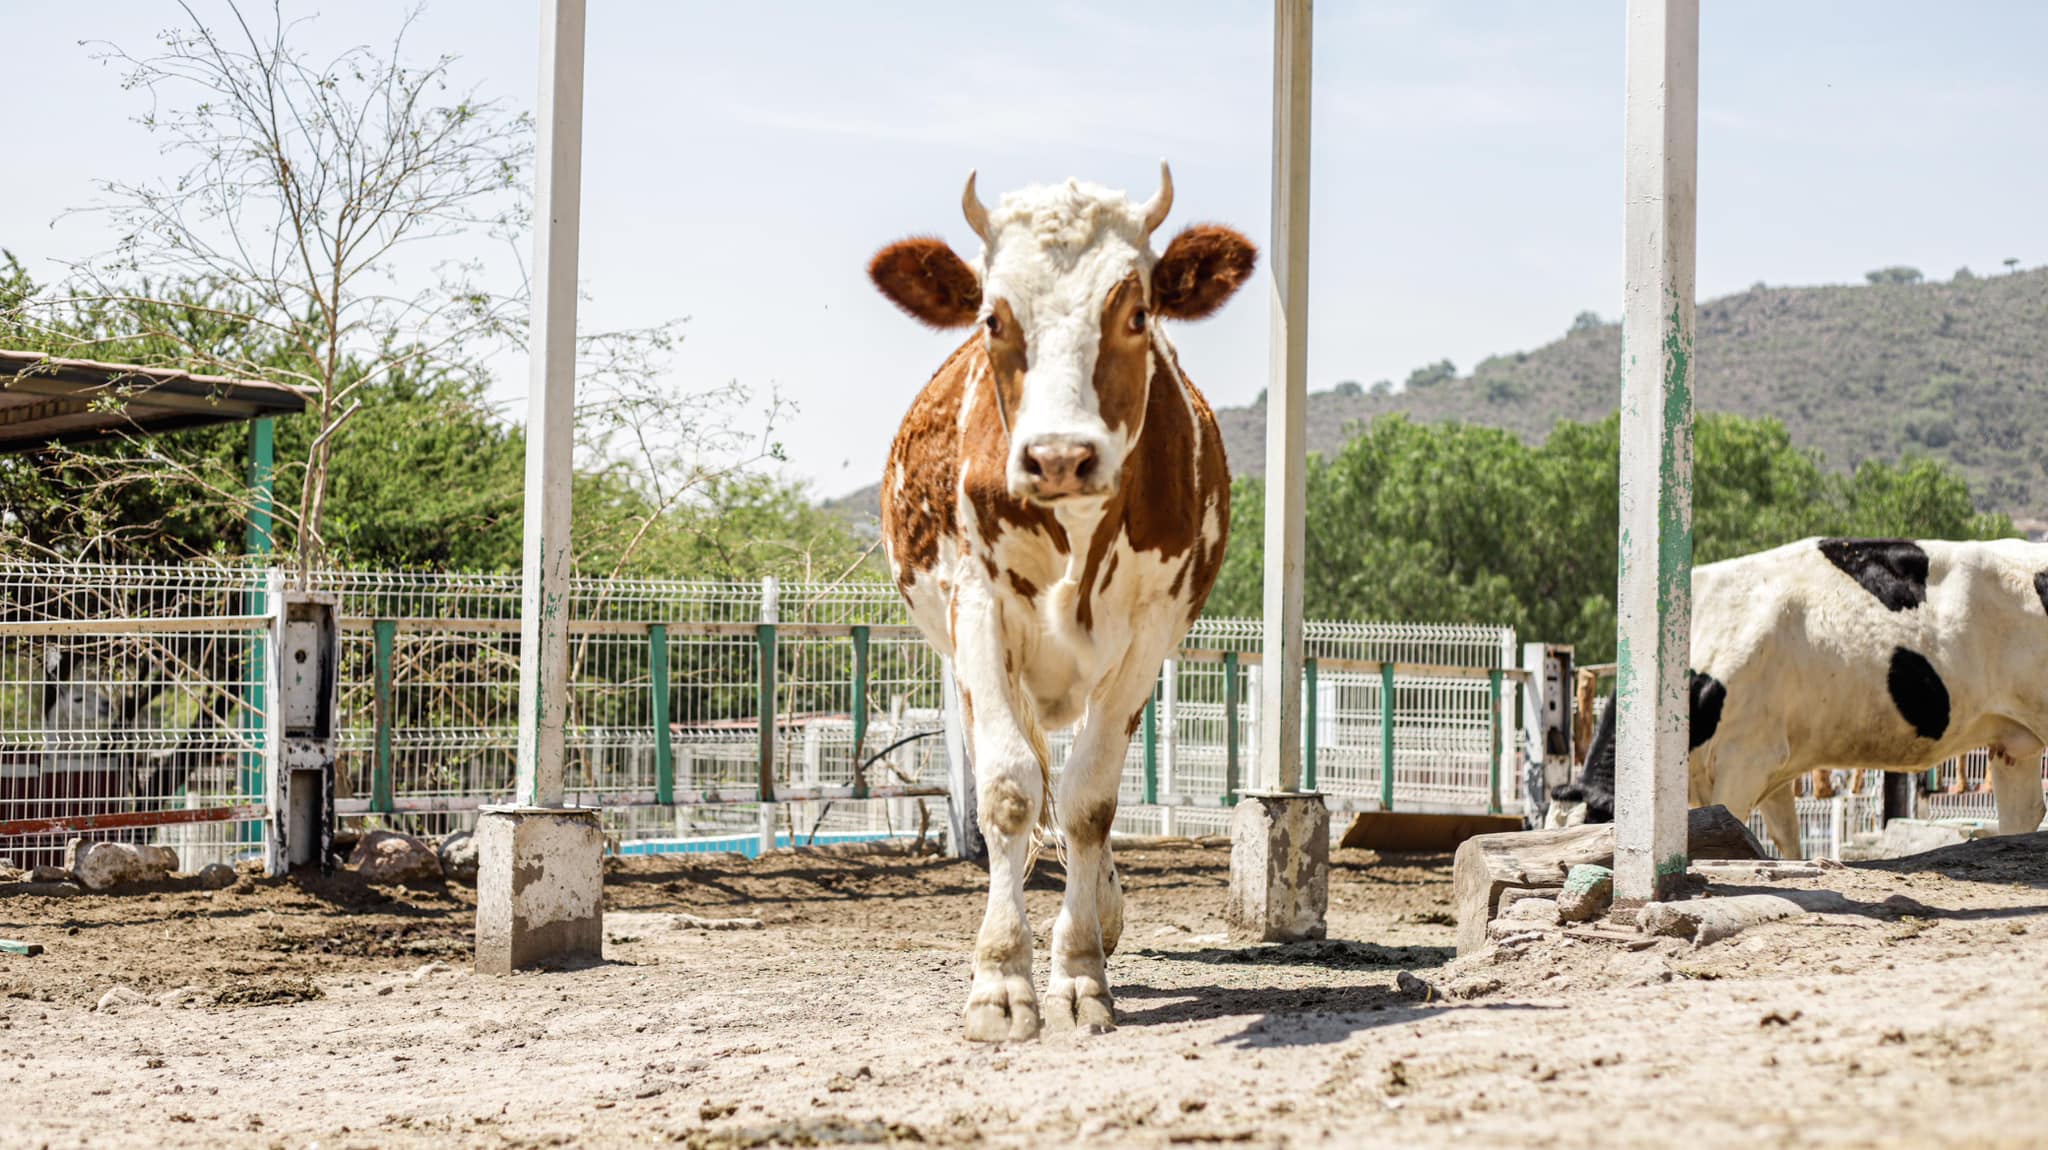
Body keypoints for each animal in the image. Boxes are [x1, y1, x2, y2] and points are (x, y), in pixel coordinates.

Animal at [864, 163, 1245, 1039]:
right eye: (993, 316)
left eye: (1136, 312)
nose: (1060, 456)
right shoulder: (978, 611)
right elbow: (1009, 792)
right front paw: (1002, 978)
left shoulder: (1149, 634)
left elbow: (1091, 802)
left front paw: (1078, 972)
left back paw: (1102, 907)